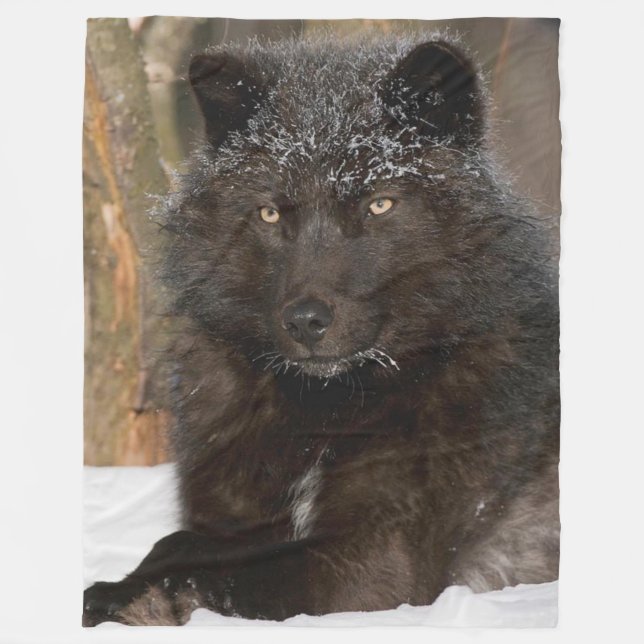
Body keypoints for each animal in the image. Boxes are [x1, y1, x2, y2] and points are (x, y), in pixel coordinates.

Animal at [83, 33, 560, 626]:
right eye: (268, 214)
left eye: (379, 204)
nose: (306, 320)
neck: (326, 413)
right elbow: (174, 544)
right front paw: (119, 587)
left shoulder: (379, 563)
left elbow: (243, 576)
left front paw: (148, 601)